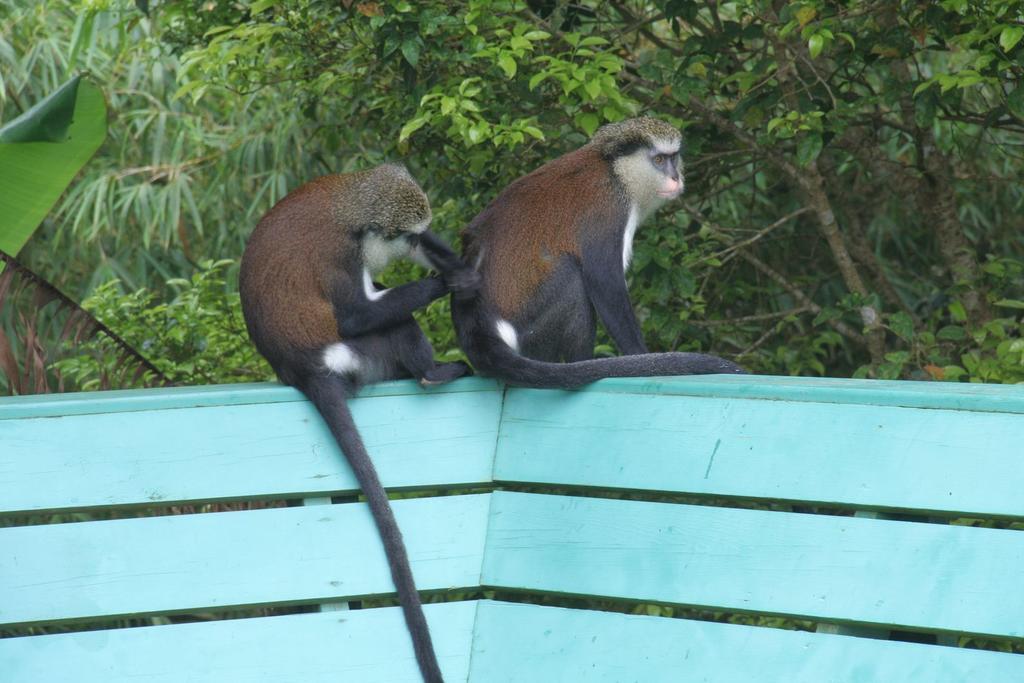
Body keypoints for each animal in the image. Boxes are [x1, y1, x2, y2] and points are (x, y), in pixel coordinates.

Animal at [241, 162, 481, 679]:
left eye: (419, 233)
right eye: (404, 236)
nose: (421, 242)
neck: (350, 203)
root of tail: (304, 370)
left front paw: (456, 261)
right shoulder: (342, 258)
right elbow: (353, 315)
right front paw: (451, 281)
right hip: (357, 354)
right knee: (390, 323)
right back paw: (431, 373)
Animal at [454, 115, 745, 387]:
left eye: (673, 158)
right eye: (659, 160)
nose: (675, 178)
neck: (616, 171)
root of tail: (477, 325)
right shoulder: (610, 212)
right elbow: (603, 280)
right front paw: (640, 354)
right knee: (573, 279)